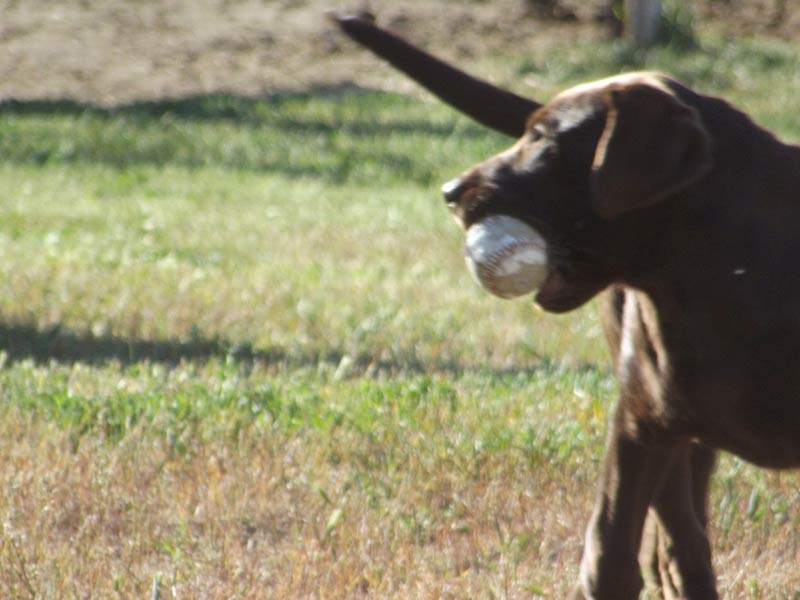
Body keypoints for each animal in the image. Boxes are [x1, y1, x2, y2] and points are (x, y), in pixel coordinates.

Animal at [332, 14, 800, 600]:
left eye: (542, 140)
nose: (449, 190)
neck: (720, 276)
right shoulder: (642, 421)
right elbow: (616, 548)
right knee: (681, 528)